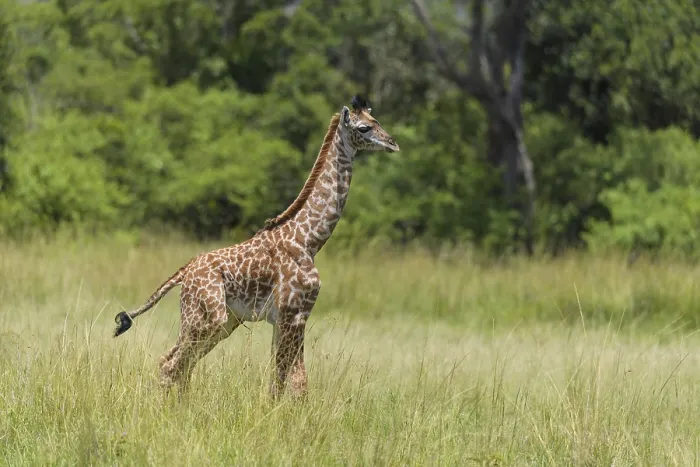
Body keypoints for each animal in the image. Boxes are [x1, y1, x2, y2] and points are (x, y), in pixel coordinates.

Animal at [113, 95, 400, 398]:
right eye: (364, 127)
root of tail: (184, 272)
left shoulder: (290, 317)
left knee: (179, 364)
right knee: (170, 363)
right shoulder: (292, 314)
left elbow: (288, 380)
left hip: (226, 322)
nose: (393, 143)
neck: (309, 240)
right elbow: (290, 381)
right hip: (206, 318)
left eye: (376, 121)